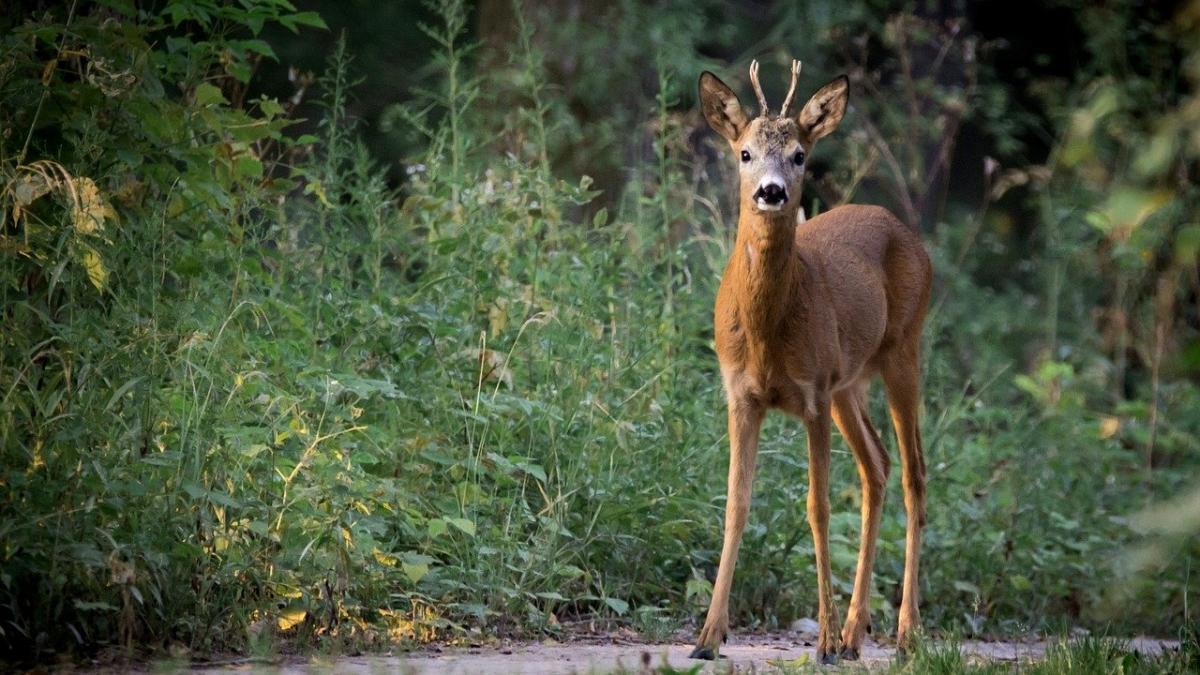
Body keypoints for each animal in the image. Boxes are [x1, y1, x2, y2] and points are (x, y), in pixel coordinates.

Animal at [691, 60, 931, 658]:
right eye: (745, 153)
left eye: (800, 154)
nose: (773, 192)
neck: (767, 335)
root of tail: (906, 231)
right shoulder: (741, 394)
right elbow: (735, 504)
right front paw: (708, 635)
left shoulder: (813, 393)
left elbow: (817, 509)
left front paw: (821, 640)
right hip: (850, 383)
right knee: (878, 466)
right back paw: (854, 631)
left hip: (903, 349)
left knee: (914, 472)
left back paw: (903, 631)